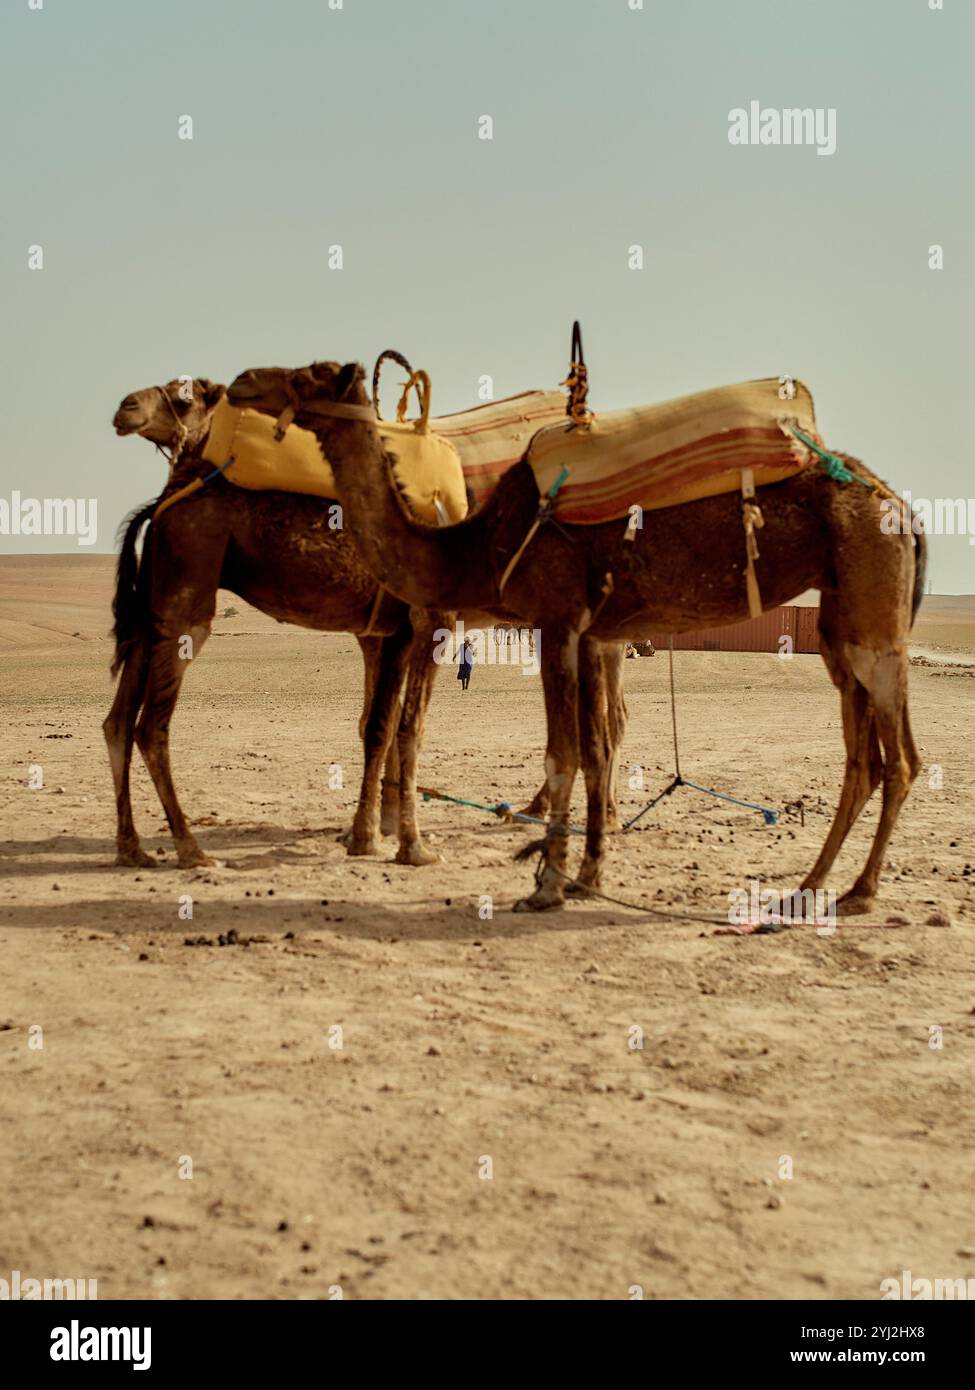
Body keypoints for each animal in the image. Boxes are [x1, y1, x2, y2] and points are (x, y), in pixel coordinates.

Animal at [223, 361, 923, 911]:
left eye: (307, 374)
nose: (241, 380)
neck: (476, 541)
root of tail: (900, 504)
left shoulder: (556, 619)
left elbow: (564, 752)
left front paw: (548, 885)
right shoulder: (591, 630)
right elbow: (596, 748)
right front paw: (587, 874)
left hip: (872, 603)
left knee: (901, 757)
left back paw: (861, 892)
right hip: (838, 620)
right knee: (863, 756)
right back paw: (813, 884)